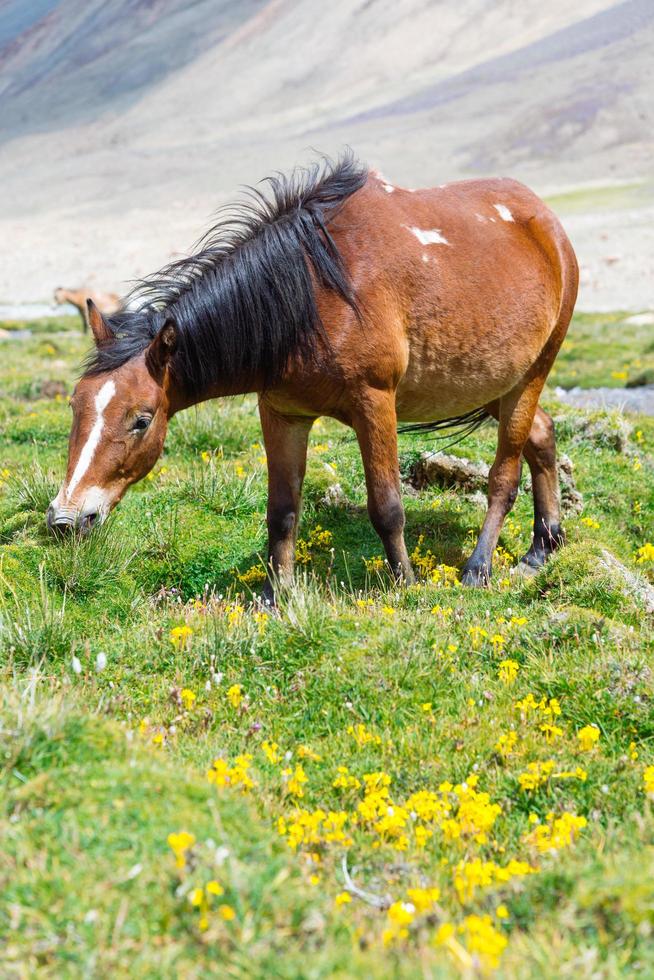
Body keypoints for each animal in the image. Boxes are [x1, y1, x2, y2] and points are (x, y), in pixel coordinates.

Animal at [46, 155, 580, 596]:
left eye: (141, 420)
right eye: (75, 406)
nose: (67, 519)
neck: (309, 298)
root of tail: (547, 223)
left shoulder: (374, 403)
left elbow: (387, 506)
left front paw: (405, 584)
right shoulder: (282, 414)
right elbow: (282, 511)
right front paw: (275, 595)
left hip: (529, 376)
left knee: (503, 478)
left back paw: (479, 567)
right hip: (492, 384)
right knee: (542, 434)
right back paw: (542, 546)